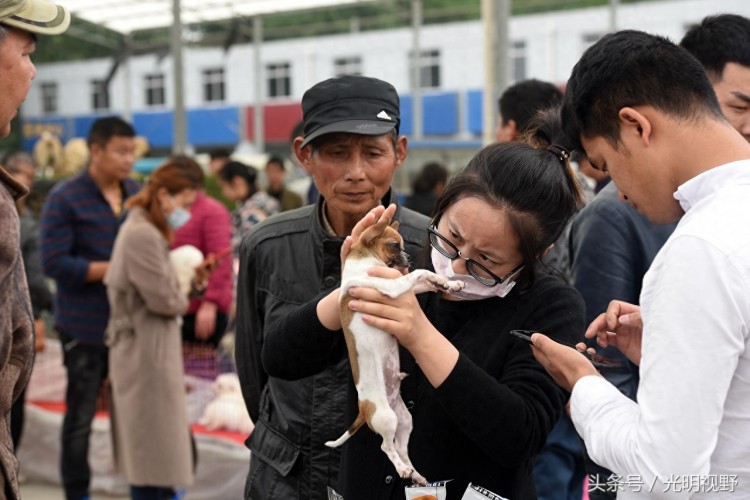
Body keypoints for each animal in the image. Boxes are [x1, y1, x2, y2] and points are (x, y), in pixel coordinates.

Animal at [328, 215, 468, 484]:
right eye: (394, 245)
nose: (407, 256)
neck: (364, 261)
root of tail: (364, 410)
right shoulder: (392, 288)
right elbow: (419, 274)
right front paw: (442, 280)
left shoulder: (402, 287)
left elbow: (423, 279)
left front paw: (448, 283)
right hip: (386, 418)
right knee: (386, 446)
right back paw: (403, 470)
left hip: (404, 421)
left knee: (401, 449)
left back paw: (416, 475)